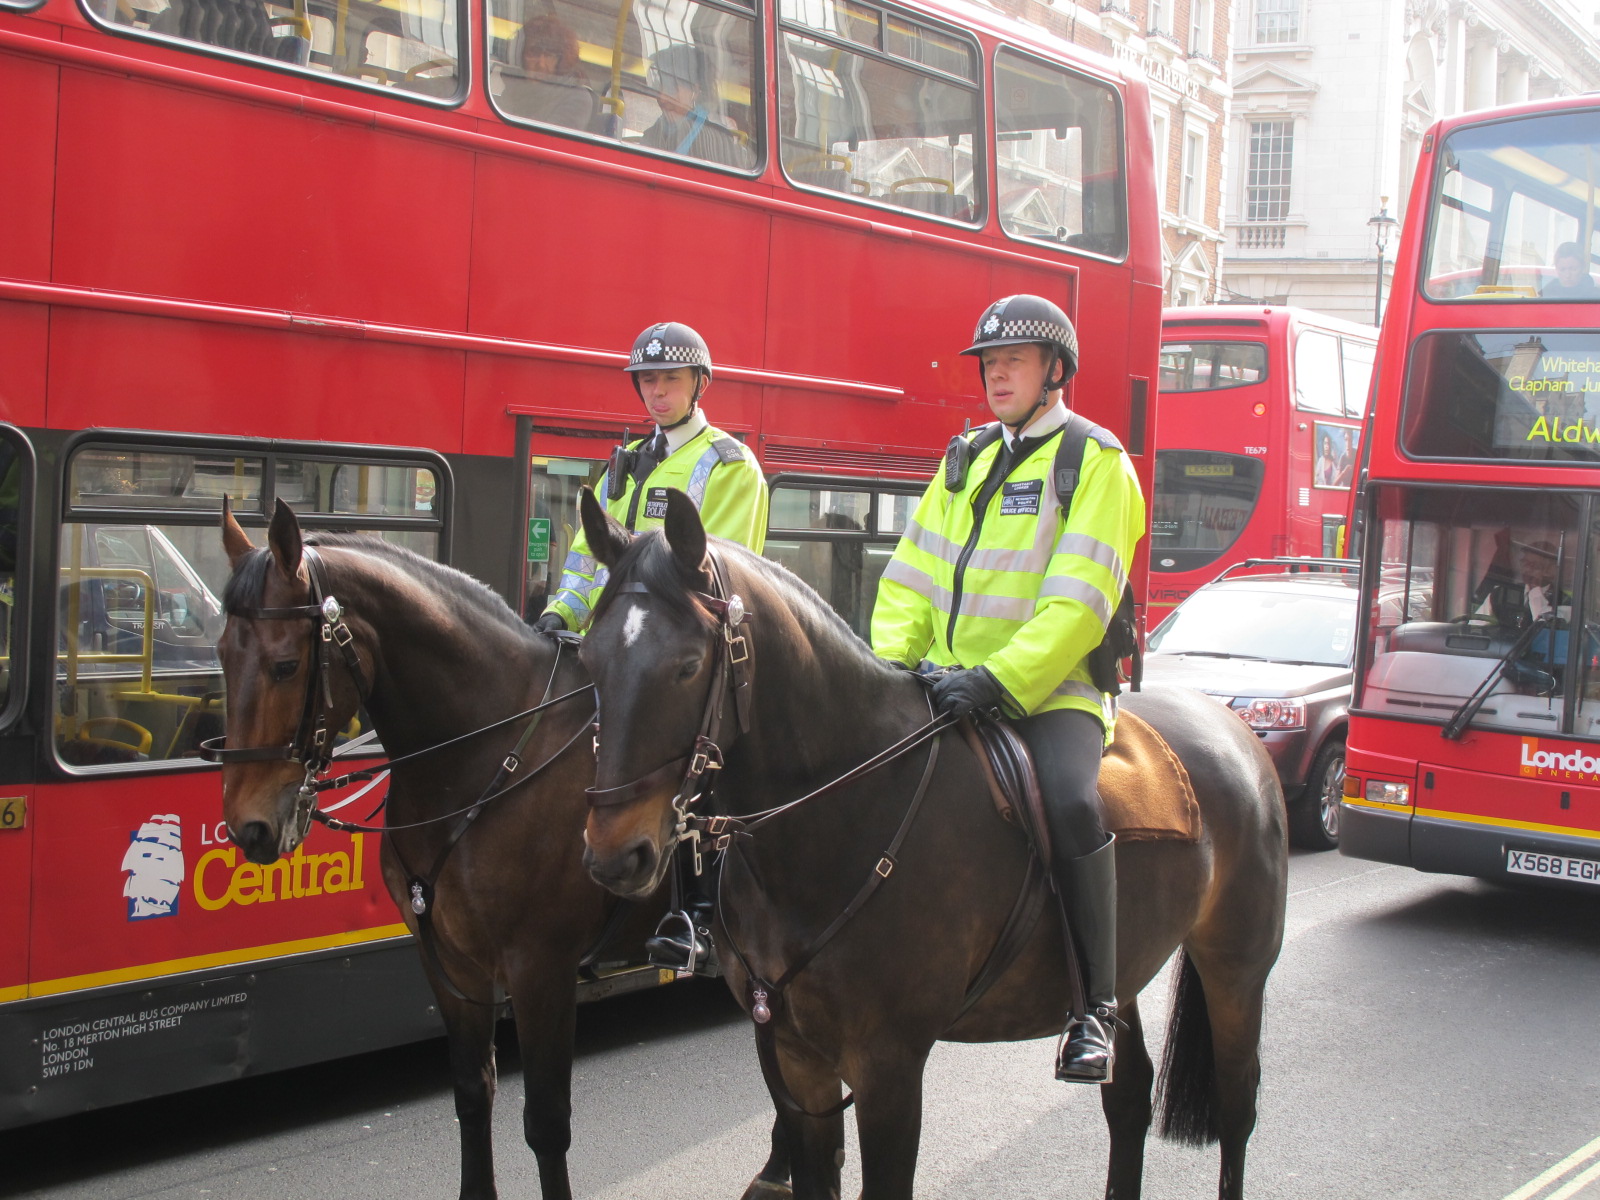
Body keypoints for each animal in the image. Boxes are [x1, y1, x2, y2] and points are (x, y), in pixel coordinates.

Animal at [211, 498, 704, 1200]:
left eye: (285, 665)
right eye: (223, 654)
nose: (248, 827)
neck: (481, 758)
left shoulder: (540, 967)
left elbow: (546, 1122)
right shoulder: (448, 957)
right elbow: (473, 1094)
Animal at [575, 488, 1290, 1200]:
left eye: (688, 666)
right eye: (589, 660)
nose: (615, 852)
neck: (843, 814)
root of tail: (1227, 721)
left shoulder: (888, 1067)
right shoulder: (795, 1055)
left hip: (1236, 969)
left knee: (1236, 1107)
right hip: (1127, 966)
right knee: (1130, 1094)